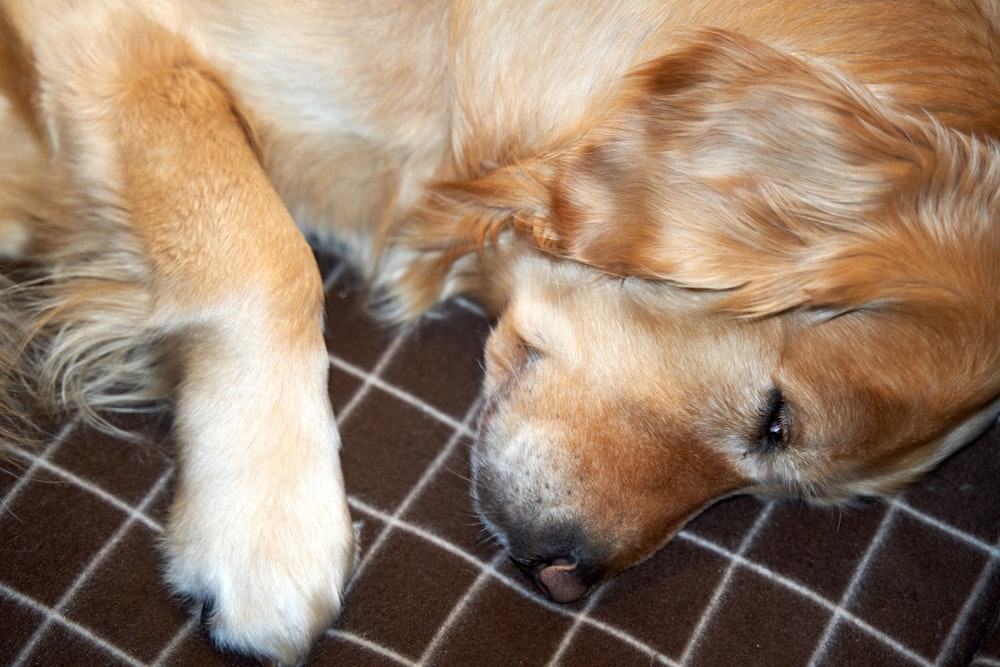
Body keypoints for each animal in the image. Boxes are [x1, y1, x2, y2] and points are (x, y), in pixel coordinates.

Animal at [1, 0, 1000, 664]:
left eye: (781, 481)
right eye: (777, 416)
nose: (567, 577)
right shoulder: (108, 29)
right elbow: (264, 253)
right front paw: (268, 525)